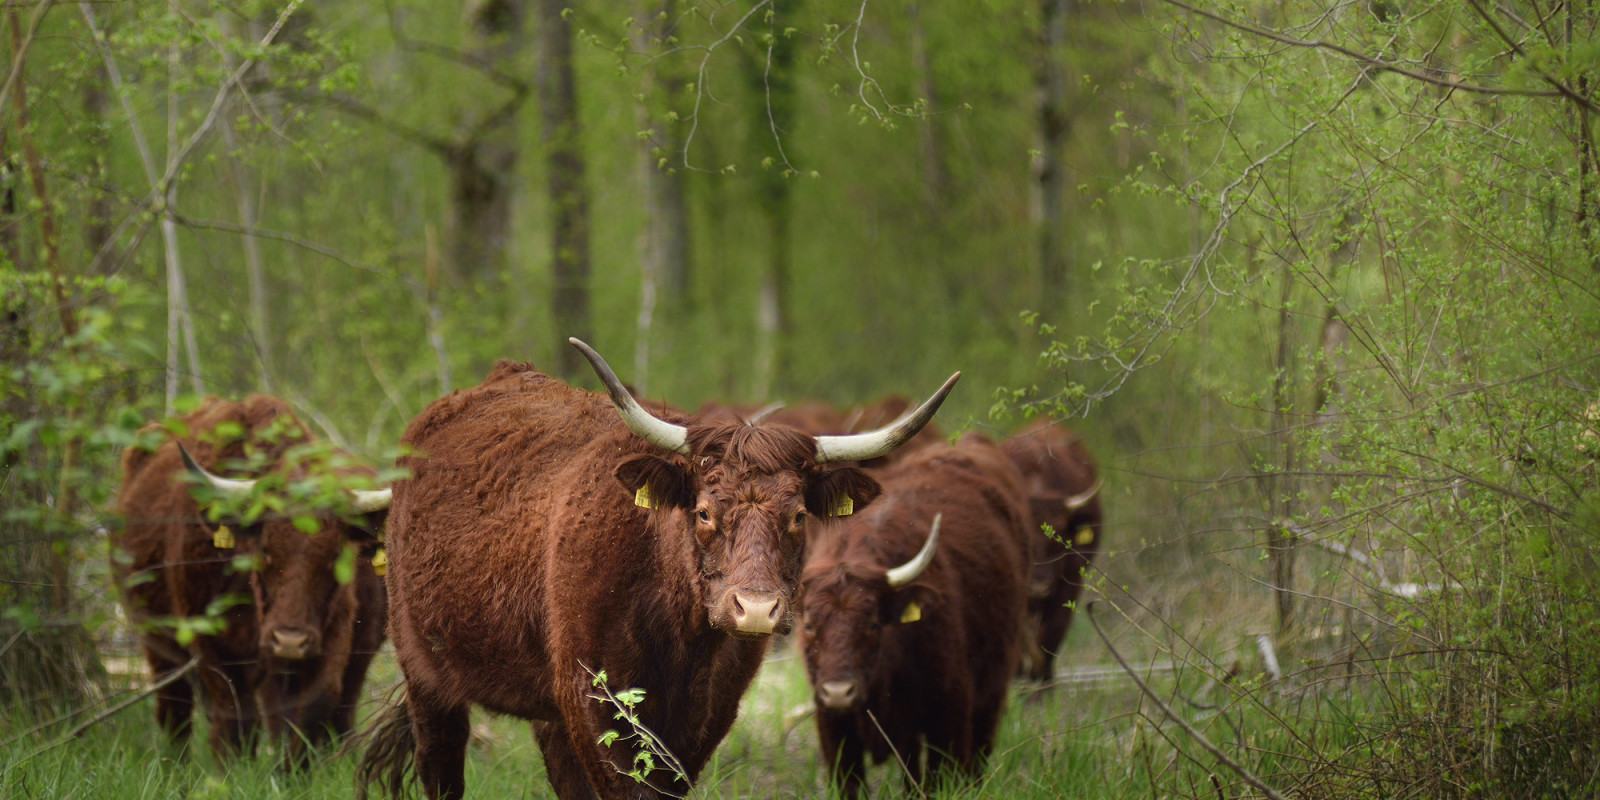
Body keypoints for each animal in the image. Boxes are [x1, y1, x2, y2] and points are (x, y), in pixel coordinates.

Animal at [111, 395, 391, 764]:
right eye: (266, 550)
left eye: (335, 556)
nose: (289, 640)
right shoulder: (215, 649)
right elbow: (234, 718)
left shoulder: (330, 640)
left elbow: (313, 709)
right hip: (159, 645)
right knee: (175, 711)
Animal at [354, 339, 958, 800]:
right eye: (705, 511)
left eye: (799, 515)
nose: (756, 610)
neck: (676, 629)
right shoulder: (598, 707)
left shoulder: (705, 718)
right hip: (426, 678)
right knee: (441, 767)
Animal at [796, 434, 1032, 799]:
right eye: (808, 625)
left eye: (874, 624)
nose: (838, 691)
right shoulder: (834, 728)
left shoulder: (947, 716)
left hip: (991, 689)